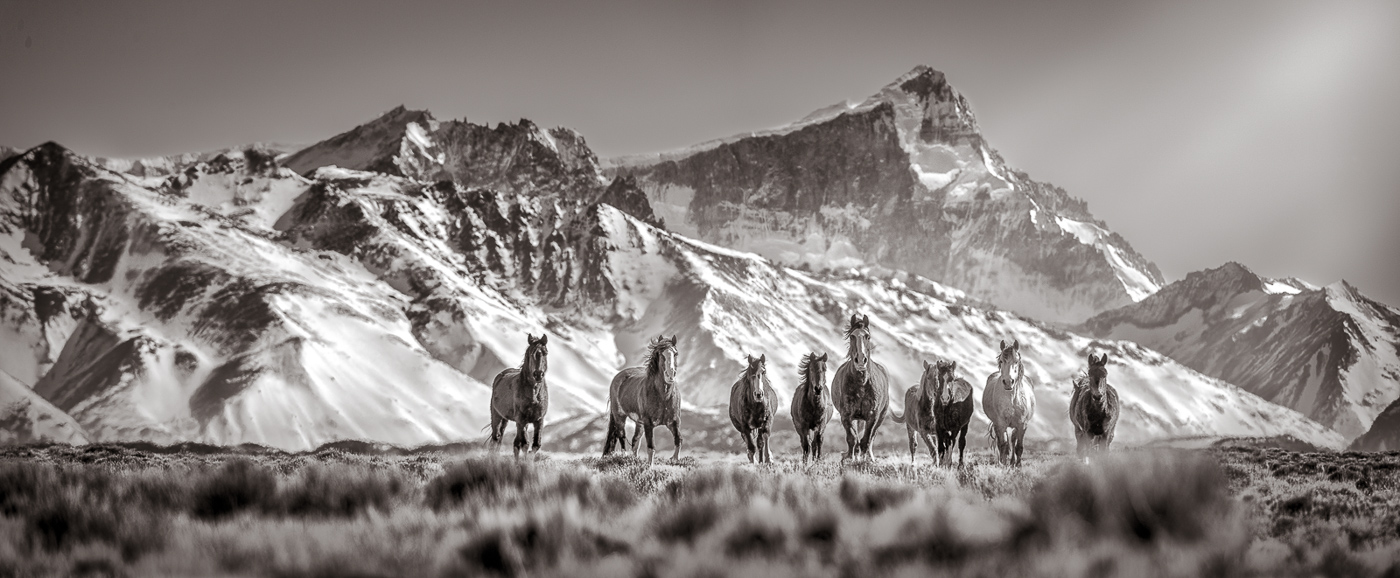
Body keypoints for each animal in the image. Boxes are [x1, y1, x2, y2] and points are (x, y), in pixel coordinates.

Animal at [602, 335, 682, 464]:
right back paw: (624, 457)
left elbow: (678, 441)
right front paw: (649, 467)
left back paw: (634, 460)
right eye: (660, 354)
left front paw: (675, 460)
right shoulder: (648, 423)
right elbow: (651, 447)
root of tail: (618, 376)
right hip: (620, 416)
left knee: (635, 441)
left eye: (676, 353)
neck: (663, 397)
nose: (670, 375)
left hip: (639, 423)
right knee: (622, 436)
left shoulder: (674, 422)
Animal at [830, 314, 891, 461]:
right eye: (852, 336)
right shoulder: (846, 415)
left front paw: (864, 461)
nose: (861, 360)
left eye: (867, 336)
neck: (862, 384)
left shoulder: (872, 416)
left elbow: (866, 440)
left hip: (881, 416)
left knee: (872, 437)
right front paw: (850, 458)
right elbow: (852, 439)